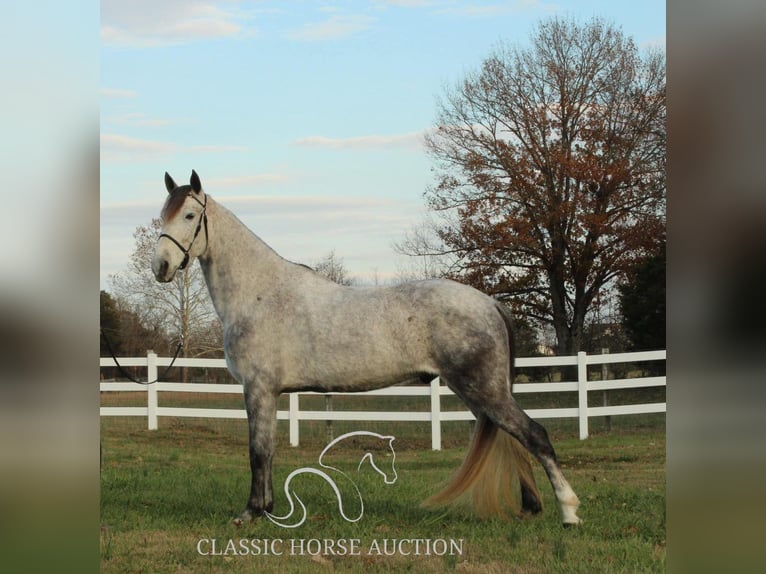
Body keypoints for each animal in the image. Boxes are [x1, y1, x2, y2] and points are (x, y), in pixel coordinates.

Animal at [152, 170, 584, 528]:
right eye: (162, 215)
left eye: (189, 216)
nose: (161, 266)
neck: (260, 293)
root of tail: (489, 303)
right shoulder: (269, 393)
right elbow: (269, 450)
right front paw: (268, 509)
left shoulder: (257, 389)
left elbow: (257, 452)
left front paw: (251, 513)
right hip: (481, 394)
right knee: (518, 442)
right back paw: (531, 508)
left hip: (484, 390)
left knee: (535, 435)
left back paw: (569, 512)